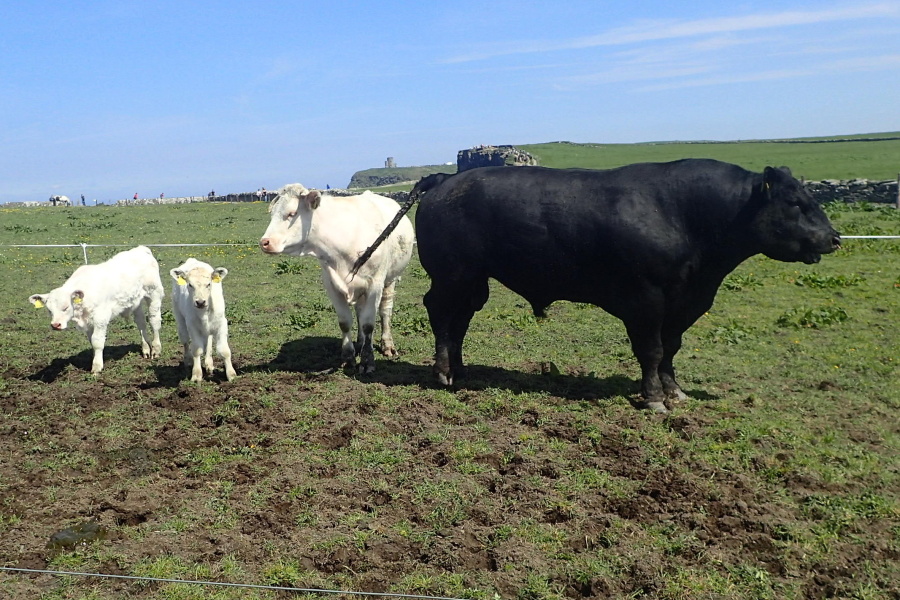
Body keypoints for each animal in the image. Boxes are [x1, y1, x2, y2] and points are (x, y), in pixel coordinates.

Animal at [29, 245, 163, 376]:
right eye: (49, 310)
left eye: (66, 307)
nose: (55, 325)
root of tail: (141, 249)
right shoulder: (88, 323)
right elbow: (91, 341)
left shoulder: (100, 318)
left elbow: (97, 341)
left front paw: (97, 367)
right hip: (136, 301)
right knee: (141, 323)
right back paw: (146, 349)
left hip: (154, 293)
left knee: (154, 321)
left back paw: (156, 349)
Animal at [260, 183, 414, 372]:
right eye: (272, 213)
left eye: (291, 213)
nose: (264, 242)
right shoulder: (331, 284)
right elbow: (345, 322)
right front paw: (348, 356)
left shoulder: (375, 284)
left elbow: (369, 324)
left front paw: (367, 361)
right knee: (360, 311)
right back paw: (360, 342)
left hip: (390, 280)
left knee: (385, 311)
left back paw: (387, 345)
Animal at [350, 159, 836, 412]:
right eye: (794, 202)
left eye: (812, 198)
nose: (832, 238)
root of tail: (446, 177)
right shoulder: (646, 299)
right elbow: (652, 350)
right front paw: (653, 398)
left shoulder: (682, 303)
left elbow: (671, 349)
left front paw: (674, 390)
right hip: (452, 274)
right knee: (440, 312)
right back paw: (443, 371)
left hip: (474, 280)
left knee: (459, 320)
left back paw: (460, 370)